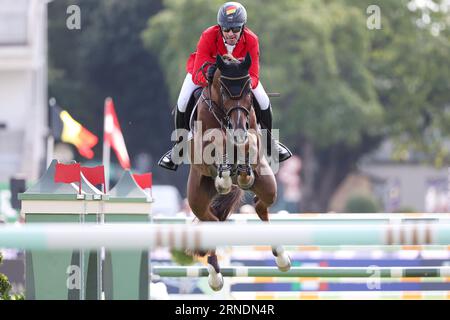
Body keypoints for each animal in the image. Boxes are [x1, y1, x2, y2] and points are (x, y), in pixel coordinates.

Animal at [186, 52, 292, 290]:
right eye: (225, 90)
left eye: (248, 91)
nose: (238, 128)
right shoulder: (203, 147)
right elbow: (216, 146)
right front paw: (224, 177)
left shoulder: (252, 134)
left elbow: (249, 143)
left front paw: (242, 167)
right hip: (196, 200)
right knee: (211, 222)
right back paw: (215, 275)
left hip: (268, 185)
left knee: (261, 206)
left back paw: (281, 256)